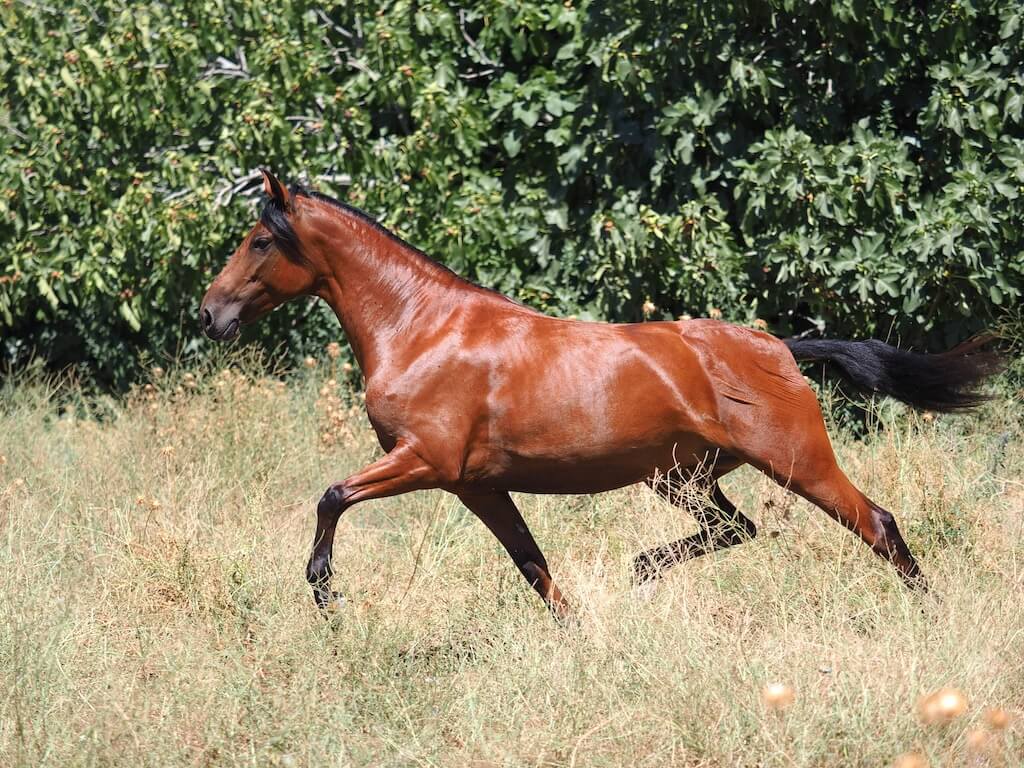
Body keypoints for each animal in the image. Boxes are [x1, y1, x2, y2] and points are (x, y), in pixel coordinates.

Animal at [200, 170, 1002, 619]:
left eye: (259, 241)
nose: (210, 315)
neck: (423, 329)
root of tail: (780, 347)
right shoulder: (476, 486)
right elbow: (534, 569)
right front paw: (577, 635)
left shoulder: (424, 461)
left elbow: (332, 495)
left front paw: (325, 594)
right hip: (683, 478)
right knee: (736, 529)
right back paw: (643, 570)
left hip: (797, 462)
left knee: (878, 525)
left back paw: (932, 616)